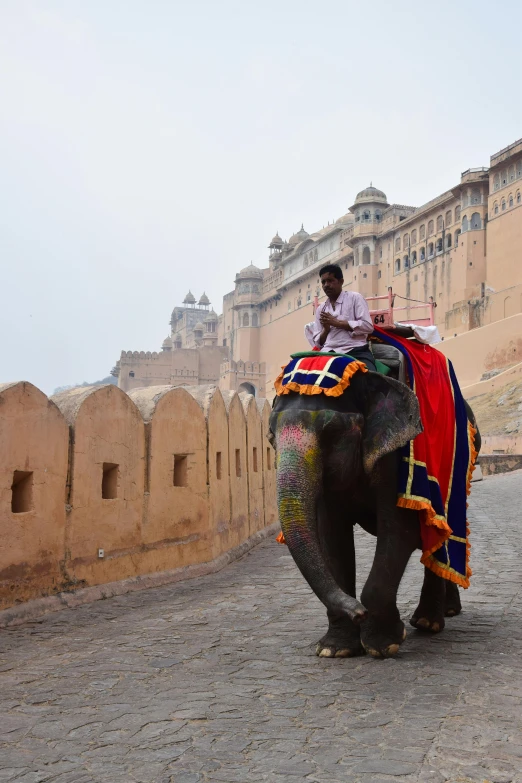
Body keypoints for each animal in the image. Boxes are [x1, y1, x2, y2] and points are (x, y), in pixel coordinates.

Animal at [268, 364, 480, 660]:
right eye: (270, 435)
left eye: (332, 431)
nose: (359, 613)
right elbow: (331, 538)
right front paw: (335, 649)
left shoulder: (397, 455)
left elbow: (400, 530)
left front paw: (384, 645)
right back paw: (446, 611)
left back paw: (428, 622)